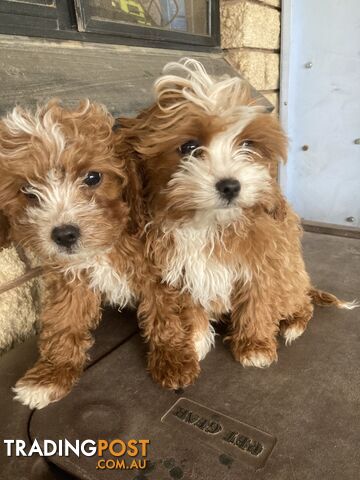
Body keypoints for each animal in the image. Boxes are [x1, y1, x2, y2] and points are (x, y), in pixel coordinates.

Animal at [0, 100, 180, 408]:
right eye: (27, 190)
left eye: (93, 177)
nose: (64, 235)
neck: (107, 245)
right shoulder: (70, 278)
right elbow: (64, 321)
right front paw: (50, 375)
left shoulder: (159, 266)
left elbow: (165, 311)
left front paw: (174, 359)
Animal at [121, 59, 358, 390]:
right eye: (189, 147)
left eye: (247, 144)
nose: (231, 185)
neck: (210, 223)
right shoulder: (183, 269)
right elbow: (190, 305)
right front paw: (194, 341)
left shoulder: (263, 262)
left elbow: (257, 303)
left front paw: (255, 347)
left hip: (291, 276)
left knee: (301, 302)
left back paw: (294, 323)